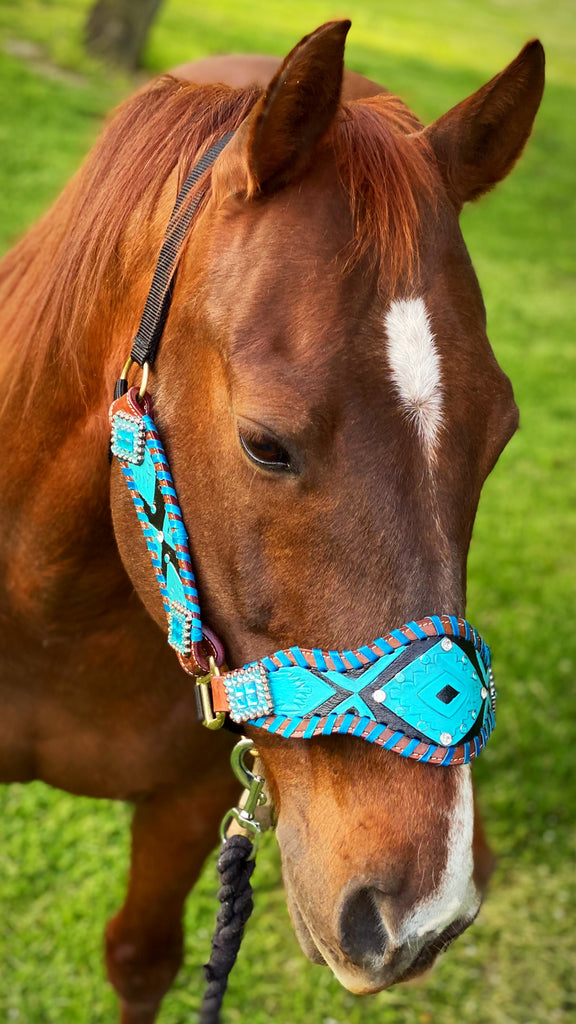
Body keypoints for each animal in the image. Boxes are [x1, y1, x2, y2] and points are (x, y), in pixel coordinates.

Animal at [0, 18, 541, 1024]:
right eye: (265, 445)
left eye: (500, 439)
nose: (421, 918)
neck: (52, 605)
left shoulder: (185, 809)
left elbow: (141, 957)